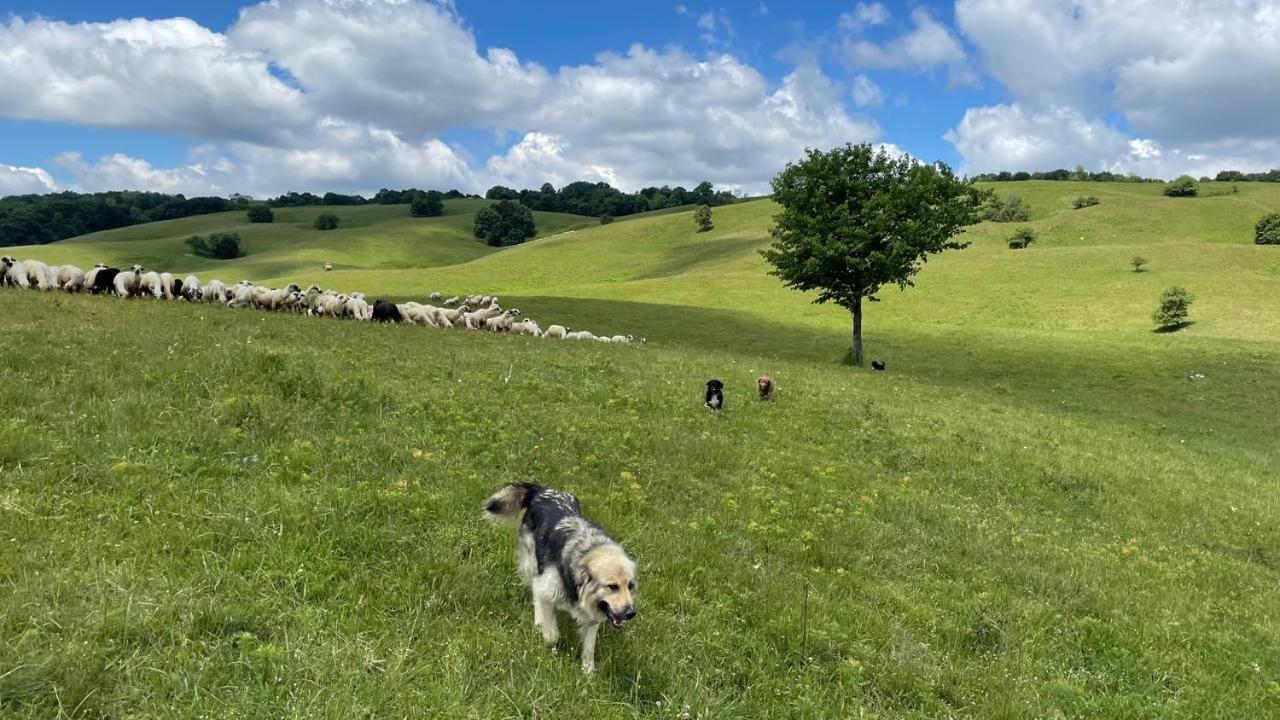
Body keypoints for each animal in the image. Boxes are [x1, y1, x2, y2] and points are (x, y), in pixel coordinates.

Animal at [481, 481, 637, 671]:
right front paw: (551, 647)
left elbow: (589, 648)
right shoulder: (545, 589)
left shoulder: (592, 615)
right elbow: (551, 632)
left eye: (630, 586)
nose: (631, 613)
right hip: (533, 563)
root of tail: (542, 490)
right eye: (612, 586)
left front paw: (588, 672)